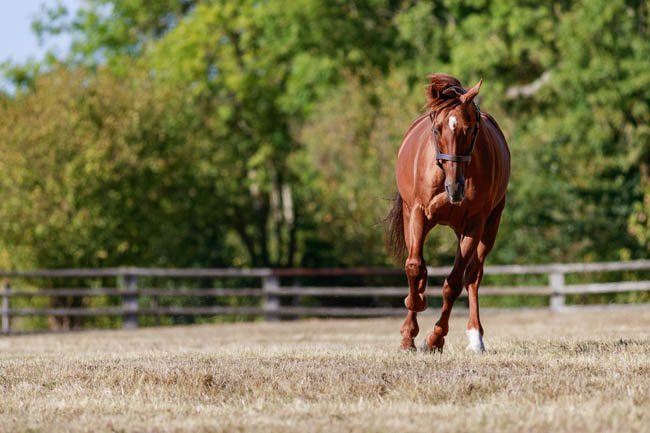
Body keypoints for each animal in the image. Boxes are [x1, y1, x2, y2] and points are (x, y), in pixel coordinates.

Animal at [386, 73, 510, 353]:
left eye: (470, 129)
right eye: (437, 128)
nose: (455, 188)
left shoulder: (475, 224)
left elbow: (453, 284)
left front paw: (434, 339)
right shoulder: (419, 213)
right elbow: (414, 267)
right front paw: (409, 333)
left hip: (489, 227)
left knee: (473, 276)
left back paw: (475, 337)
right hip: (411, 219)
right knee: (418, 266)